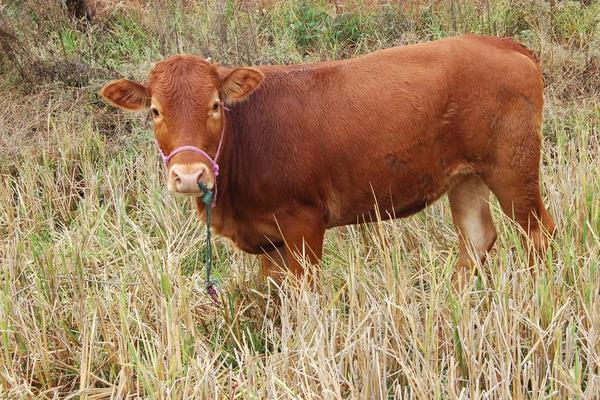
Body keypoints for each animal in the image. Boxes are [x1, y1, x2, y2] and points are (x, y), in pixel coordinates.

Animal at [101, 35, 556, 284]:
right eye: (155, 111)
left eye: (215, 105)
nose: (189, 175)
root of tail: (502, 43)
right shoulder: (268, 239)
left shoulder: (304, 223)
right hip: (465, 176)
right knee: (477, 238)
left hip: (512, 169)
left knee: (539, 234)